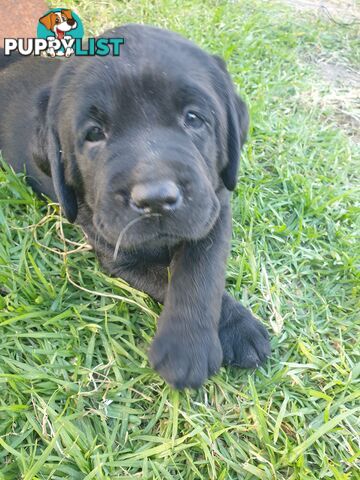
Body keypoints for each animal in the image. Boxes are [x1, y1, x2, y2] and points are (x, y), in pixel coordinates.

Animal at [0, 24, 270, 388]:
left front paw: (222, 331)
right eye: (94, 134)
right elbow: (167, 277)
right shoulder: (117, 251)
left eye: (194, 118)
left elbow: (202, 270)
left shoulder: (214, 203)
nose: (155, 198)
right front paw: (188, 347)